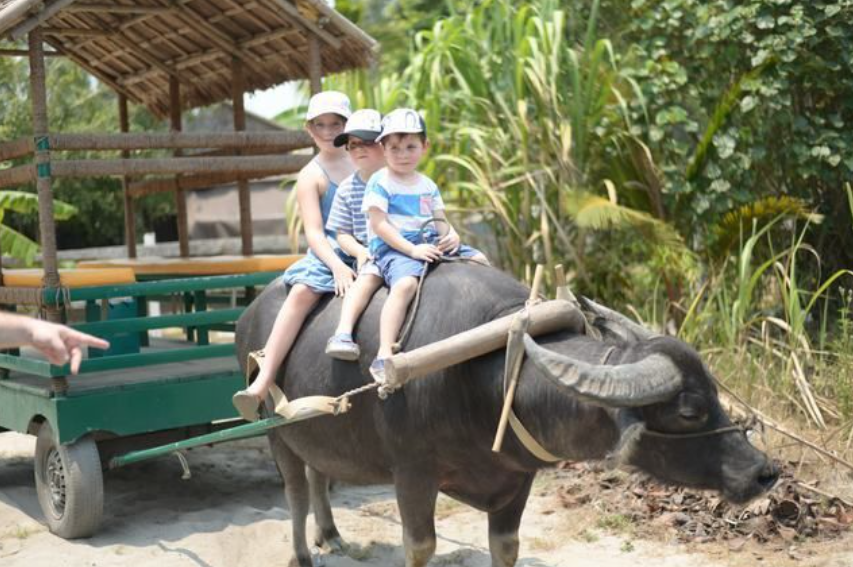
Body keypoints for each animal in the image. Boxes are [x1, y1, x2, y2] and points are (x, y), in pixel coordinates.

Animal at [236, 263, 778, 567]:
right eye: (689, 410)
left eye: (714, 392)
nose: (764, 472)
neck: (490, 380)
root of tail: (249, 315)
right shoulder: (412, 475)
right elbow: (421, 547)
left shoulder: (517, 480)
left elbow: (507, 546)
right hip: (275, 433)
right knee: (295, 492)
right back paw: (302, 555)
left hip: (313, 431)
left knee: (319, 474)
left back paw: (331, 536)